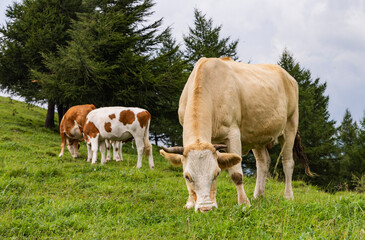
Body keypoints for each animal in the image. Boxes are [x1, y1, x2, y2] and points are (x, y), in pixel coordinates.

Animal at [159, 56, 310, 212]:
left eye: (217, 173)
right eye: (187, 176)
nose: (206, 208)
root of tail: (287, 75)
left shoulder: (233, 133)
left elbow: (236, 174)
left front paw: (244, 202)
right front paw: (189, 203)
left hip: (290, 125)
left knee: (288, 162)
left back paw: (288, 196)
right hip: (257, 134)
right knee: (263, 162)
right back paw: (258, 195)